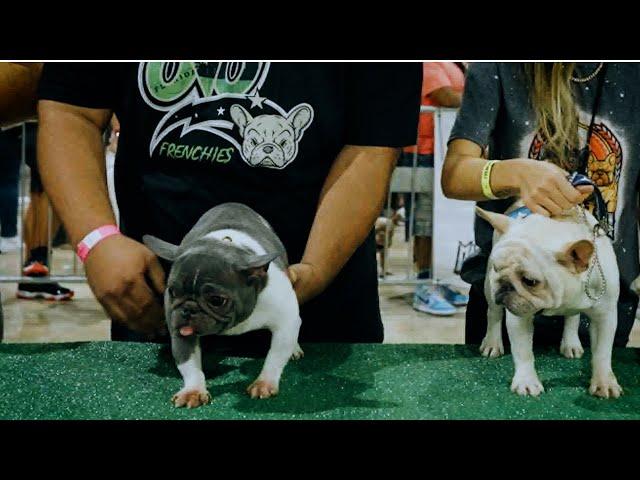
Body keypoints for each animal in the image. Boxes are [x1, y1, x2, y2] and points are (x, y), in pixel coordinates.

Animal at [144, 202, 304, 408]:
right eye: (172, 292)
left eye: (216, 300)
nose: (188, 309)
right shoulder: (180, 330)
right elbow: (188, 362)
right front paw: (193, 390)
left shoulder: (285, 322)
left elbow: (276, 355)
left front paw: (264, 382)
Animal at [480, 201, 620, 400]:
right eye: (496, 267)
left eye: (530, 281)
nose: (504, 284)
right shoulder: (519, 317)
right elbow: (523, 351)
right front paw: (526, 382)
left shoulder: (605, 317)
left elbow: (602, 352)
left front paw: (604, 383)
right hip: (489, 289)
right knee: (494, 314)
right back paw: (492, 343)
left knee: (572, 318)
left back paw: (571, 343)